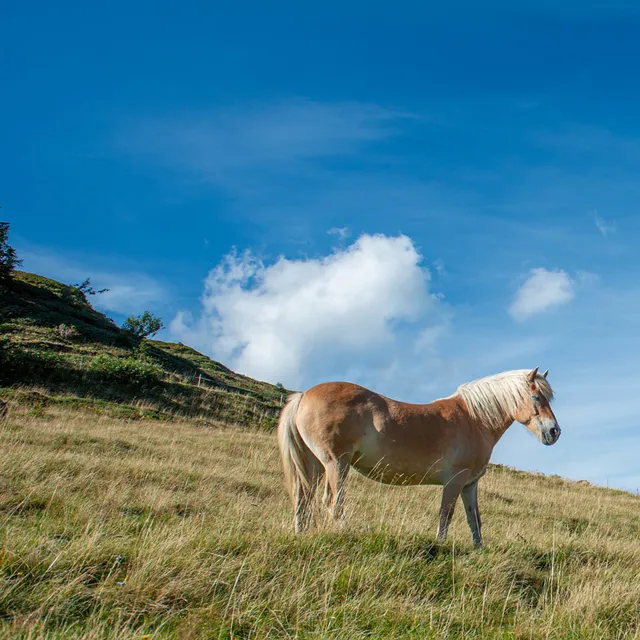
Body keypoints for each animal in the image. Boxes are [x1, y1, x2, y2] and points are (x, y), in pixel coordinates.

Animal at [276, 368, 560, 548]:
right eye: (536, 397)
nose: (554, 432)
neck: (474, 419)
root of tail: (303, 395)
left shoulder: (469, 484)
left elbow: (474, 520)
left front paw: (479, 550)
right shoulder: (455, 481)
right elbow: (446, 514)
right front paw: (440, 546)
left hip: (314, 465)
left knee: (303, 498)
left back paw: (301, 534)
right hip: (336, 463)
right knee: (333, 502)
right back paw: (343, 533)